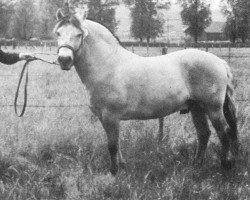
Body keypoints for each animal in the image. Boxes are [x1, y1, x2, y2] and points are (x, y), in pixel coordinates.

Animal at [54, 9, 238, 175]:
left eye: (79, 34)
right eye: (58, 33)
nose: (64, 60)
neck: (108, 65)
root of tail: (220, 62)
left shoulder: (110, 116)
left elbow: (112, 145)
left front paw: (113, 172)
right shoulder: (104, 117)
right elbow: (116, 144)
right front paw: (122, 166)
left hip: (213, 108)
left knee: (225, 132)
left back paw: (225, 165)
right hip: (196, 108)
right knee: (204, 134)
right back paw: (196, 164)